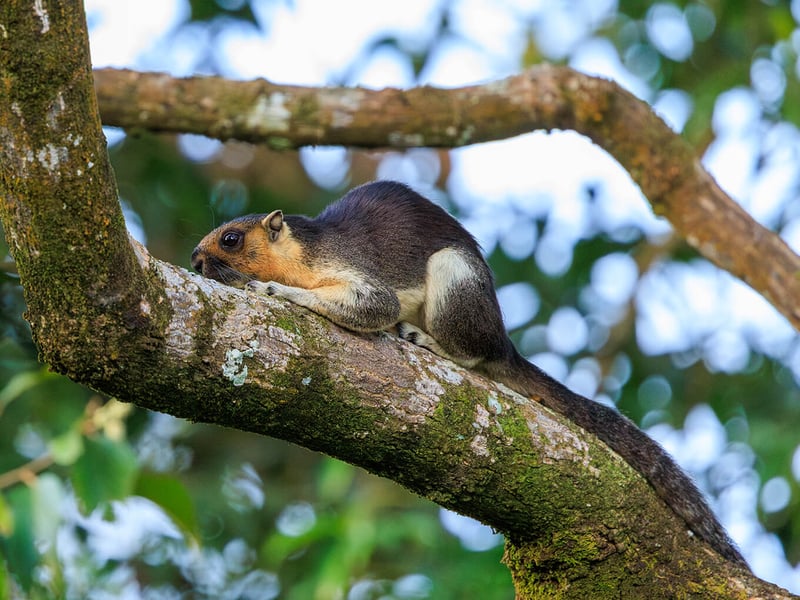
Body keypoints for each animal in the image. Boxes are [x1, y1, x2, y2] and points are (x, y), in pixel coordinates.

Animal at [191, 180, 746, 567]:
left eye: (232, 238)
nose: (195, 261)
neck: (302, 253)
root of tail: (502, 339)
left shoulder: (352, 270)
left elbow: (372, 304)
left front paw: (276, 292)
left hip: (456, 280)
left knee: (472, 355)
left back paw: (429, 341)